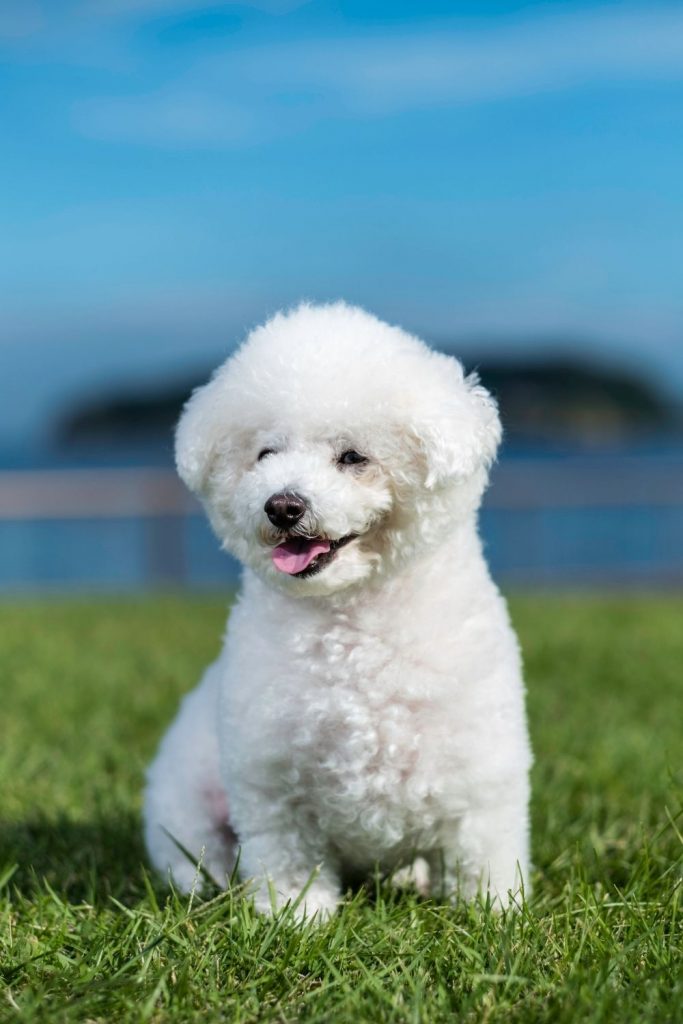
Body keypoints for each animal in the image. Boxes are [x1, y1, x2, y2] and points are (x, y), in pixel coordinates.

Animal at [144, 299, 532, 917]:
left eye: (353, 457)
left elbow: (483, 855)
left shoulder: (480, 778)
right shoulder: (273, 783)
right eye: (265, 453)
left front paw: (495, 914)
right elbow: (288, 858)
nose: (282, 505)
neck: (352, 627)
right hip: (185, 801)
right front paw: (296, 918)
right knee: (191, 854)